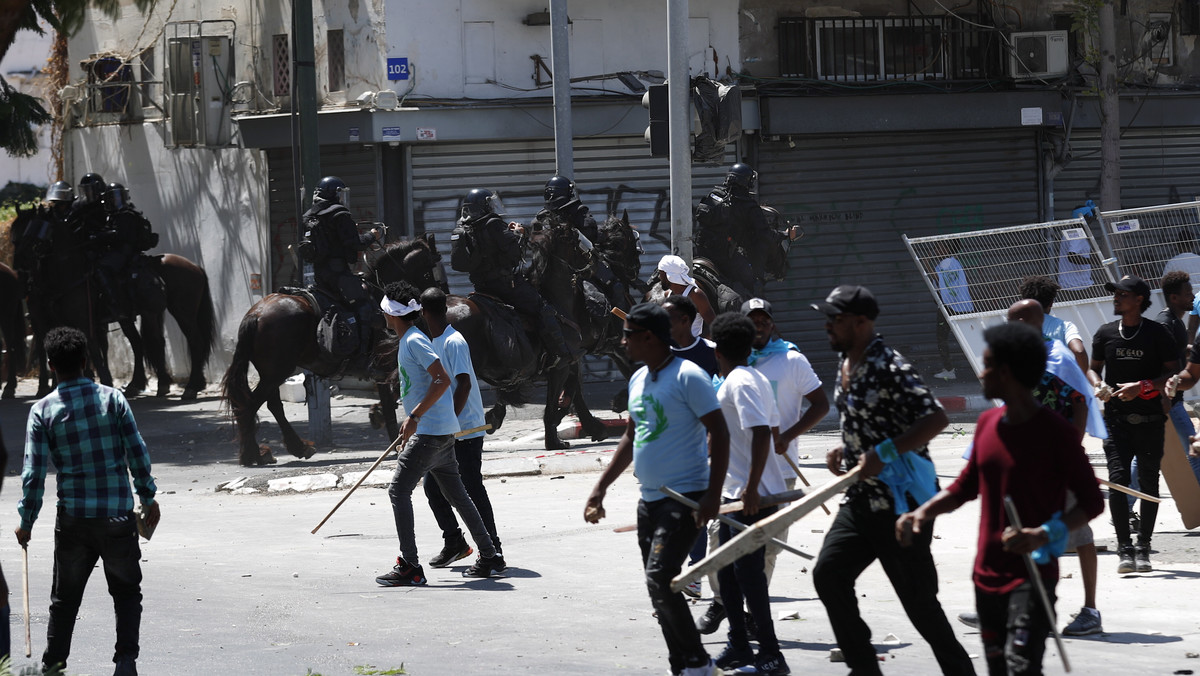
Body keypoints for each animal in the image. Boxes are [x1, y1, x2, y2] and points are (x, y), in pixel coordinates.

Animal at [222, 236, 446, 465]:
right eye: (429, 272)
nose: (440, 299)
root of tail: (256, 314)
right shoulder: (386, 366)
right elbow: (392, 399)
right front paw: (391, 432)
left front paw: (380, 417)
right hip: (277, 372)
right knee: (251, 404)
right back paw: (253, 453)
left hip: (272, 373)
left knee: (271, 404)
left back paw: (290, 447)